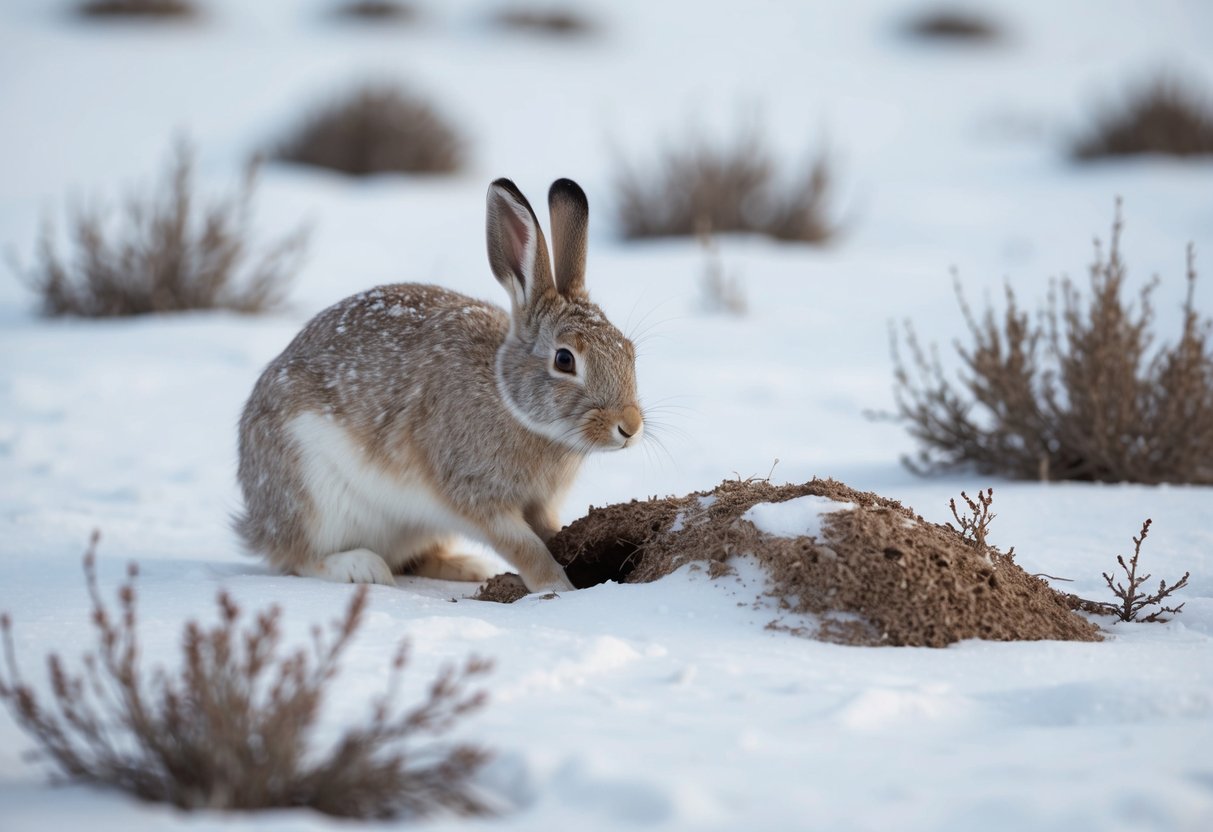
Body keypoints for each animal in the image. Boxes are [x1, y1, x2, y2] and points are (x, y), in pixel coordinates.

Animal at [235, 178, 643, 593]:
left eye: (628, 349)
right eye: (564, 360)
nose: (630, 426)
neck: (509, 399)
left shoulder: (539, 503)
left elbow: (547, 532)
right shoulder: (474, 492)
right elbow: (525, 547)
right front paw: (559, 588)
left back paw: (469, 567)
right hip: (312, 496)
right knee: (296, 557)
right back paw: (361, 568)